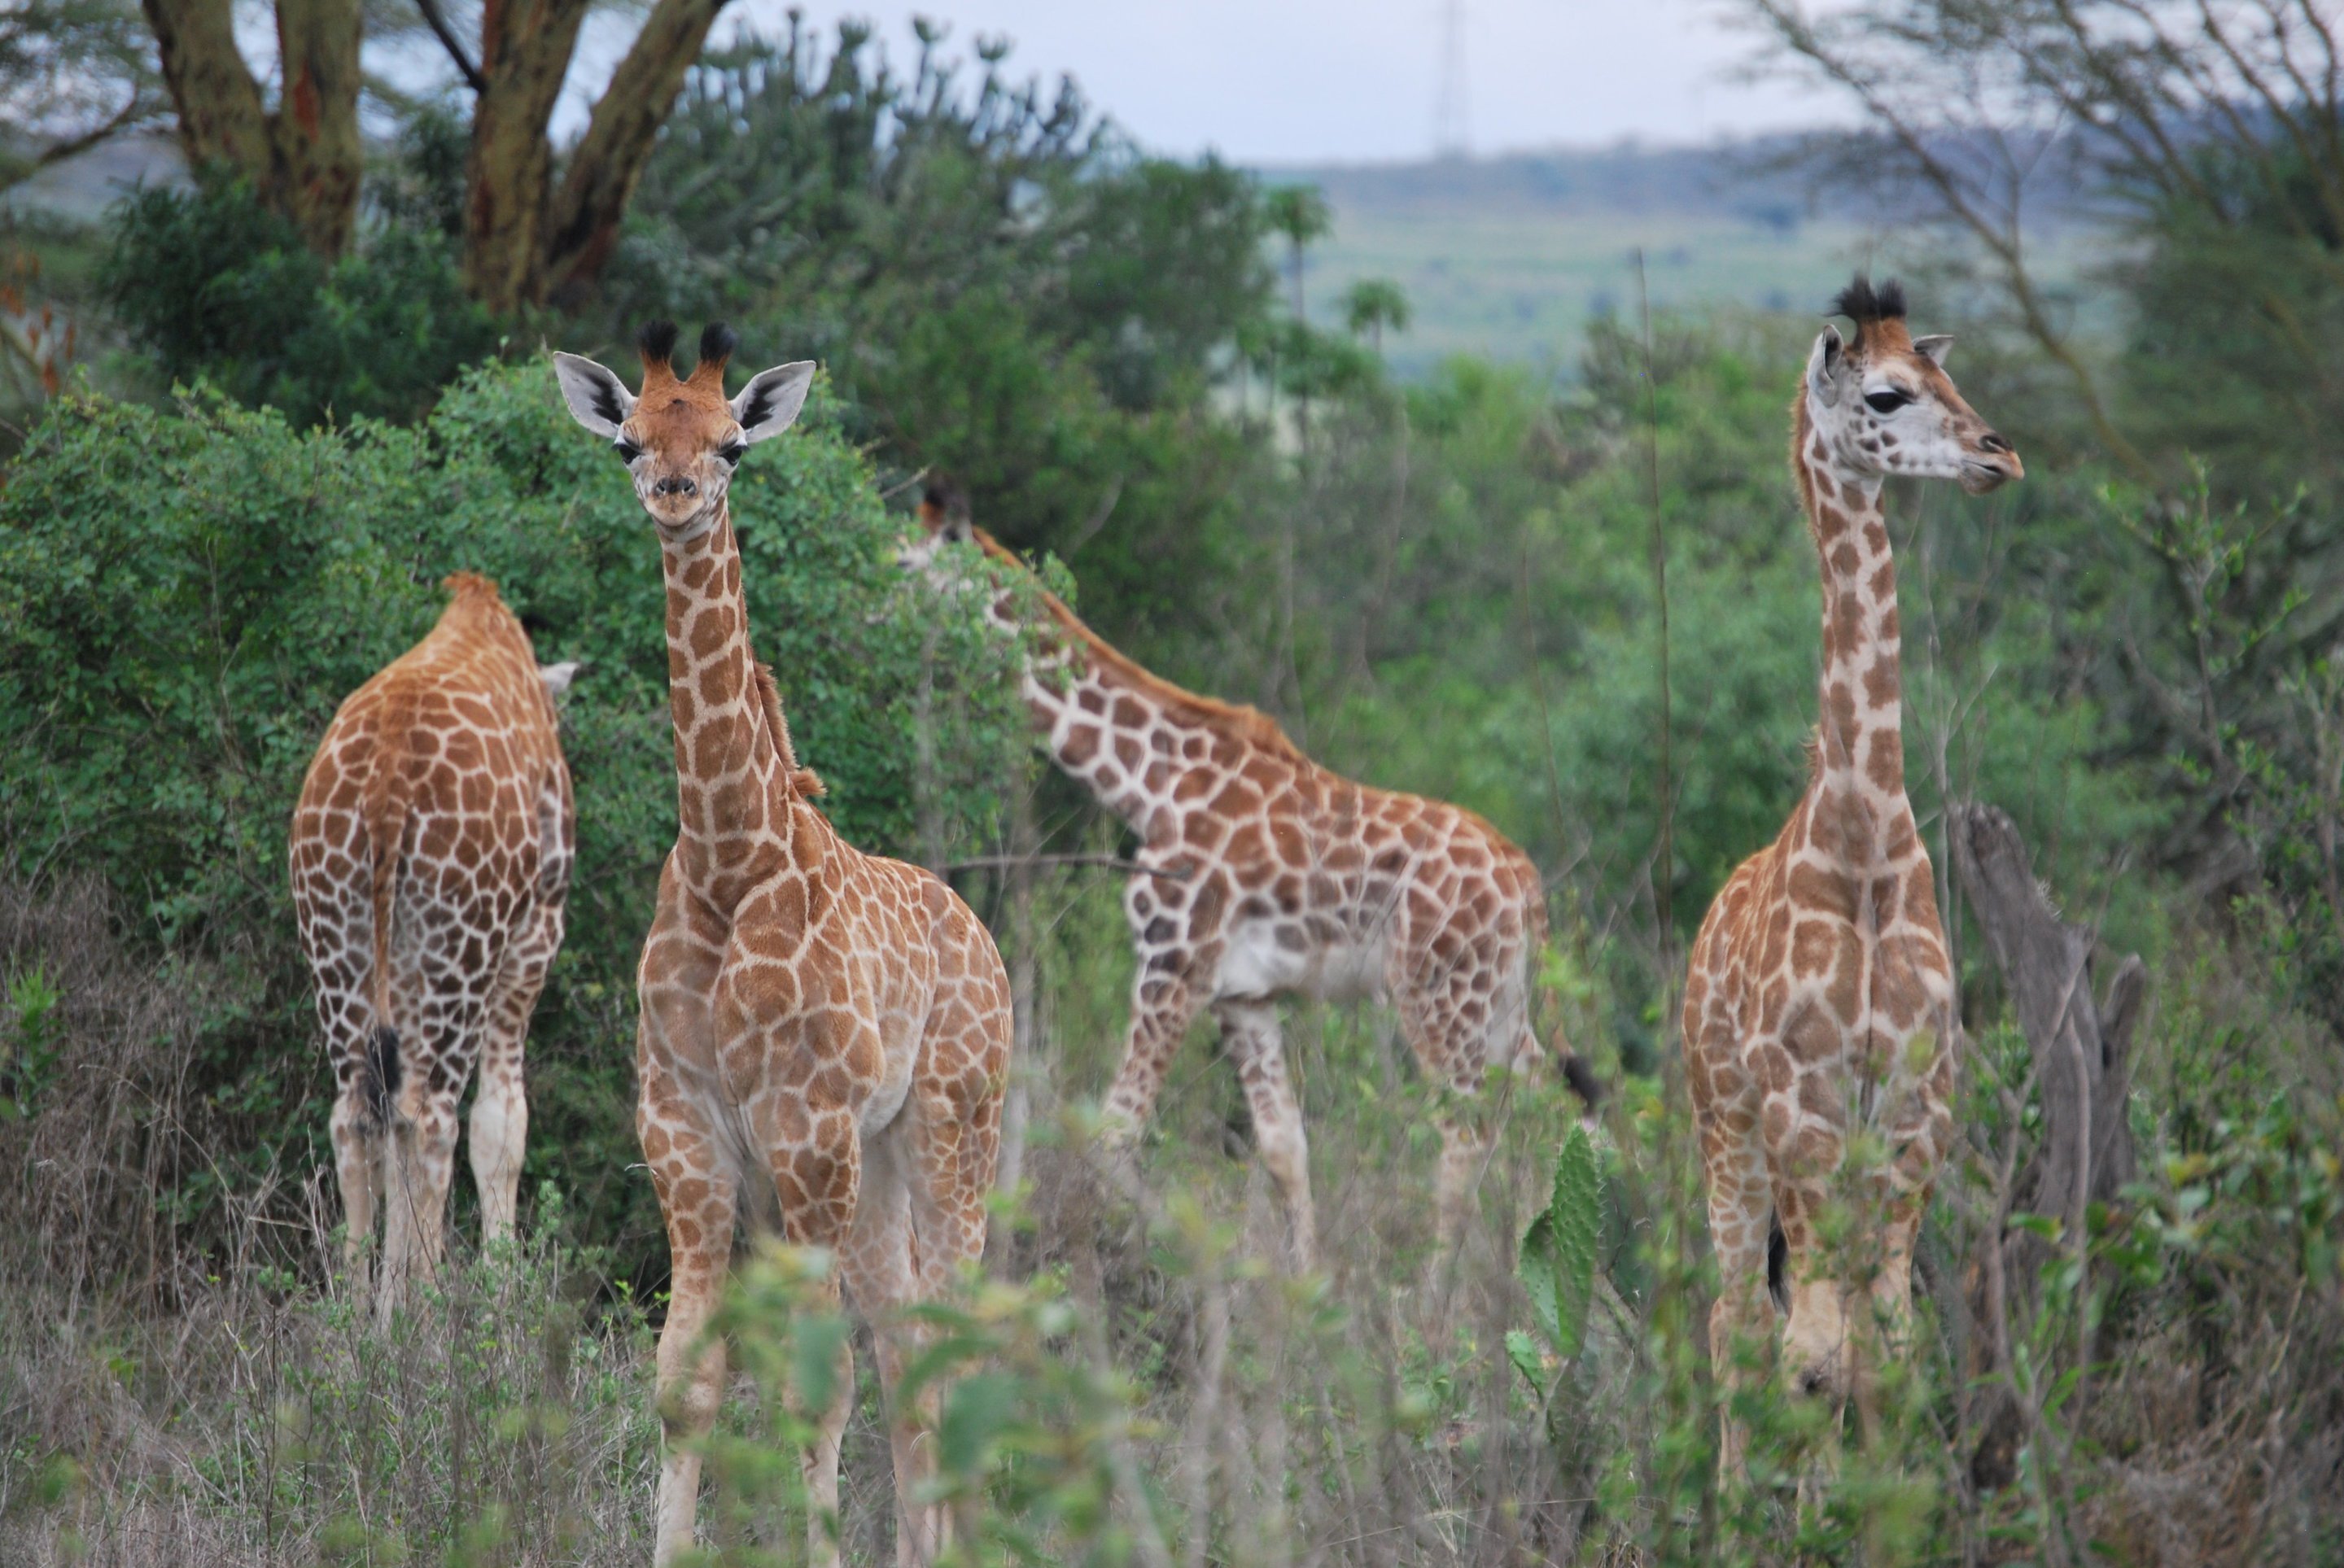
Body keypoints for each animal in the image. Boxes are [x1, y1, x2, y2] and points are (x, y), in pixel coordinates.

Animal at [286, 569, 576, 1312]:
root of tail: (387, 780)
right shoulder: (531, 941)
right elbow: (503, 1123)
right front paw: (503, 1301)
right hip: (463, 948)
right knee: (432, 1116)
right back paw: (422, 1313)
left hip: (336, 934)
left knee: (358, 1114)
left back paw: (354, 1323)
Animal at [560, 321, 1017, 1566]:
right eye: (628, 438)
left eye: (732, 445)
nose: (675, 495)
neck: (730, 862)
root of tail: (986, 941)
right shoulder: (687, 1131)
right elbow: (687, 1379)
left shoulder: (805, 1129)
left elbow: (817, 1389)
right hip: (872, 1171)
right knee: (908, 1352)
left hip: (950, 1131)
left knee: (950, 1345)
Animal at [895, 483, 1594, 1265]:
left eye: (905, 563)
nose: (866, 594)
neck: (1148, 784)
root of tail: (1524, 877)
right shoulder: (1242, 993)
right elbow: (1286, 1148)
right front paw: (1302, 1281)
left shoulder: (1173, 964)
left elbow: (1112, 1136)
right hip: (1501, 996)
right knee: (1557, 1107)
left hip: (1438, 994)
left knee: (1466, 1130)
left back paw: (1437, 1288)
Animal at [1678, 275, 2025, 1471]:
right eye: (1885, 394)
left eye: (1949, 376)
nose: (2002, 455)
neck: (1865, 844)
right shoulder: (1804, 1109)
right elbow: (1813, 1360)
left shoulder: (1916, 1111)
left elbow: (1889, 1357)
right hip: (1726, 1128)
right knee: (1736, 1323)